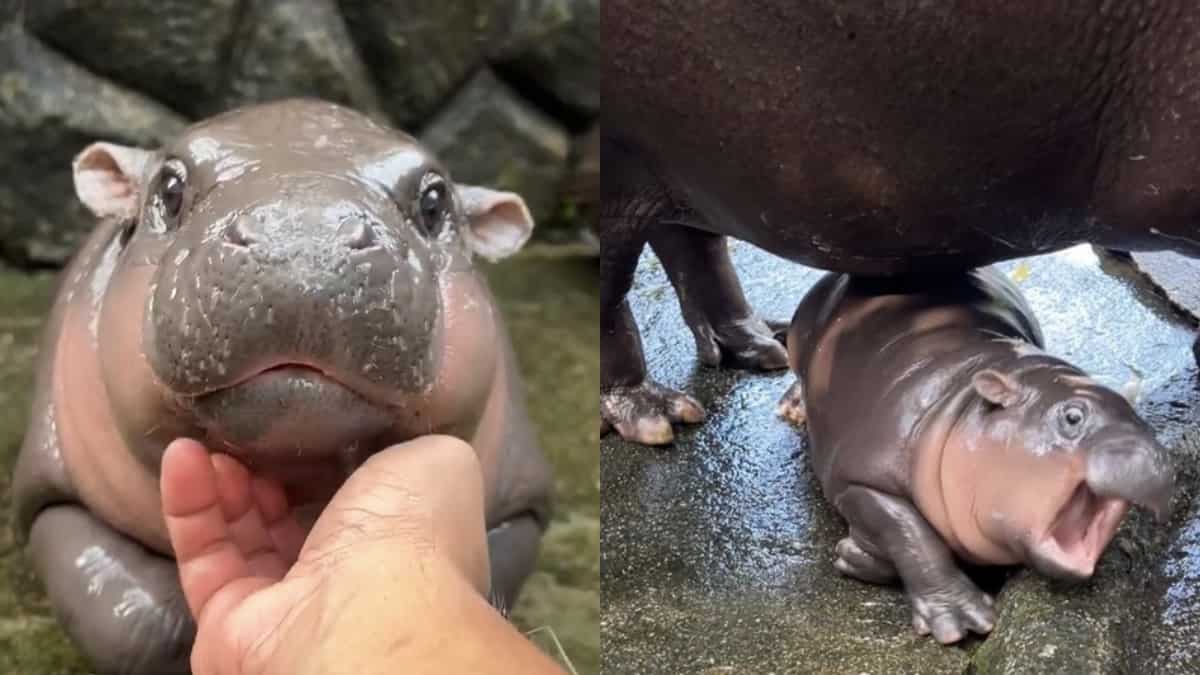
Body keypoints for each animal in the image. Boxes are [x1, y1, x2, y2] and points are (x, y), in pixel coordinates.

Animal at [11, 99, 552, 674]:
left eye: (434, 202)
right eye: (169, 188)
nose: (302, 238)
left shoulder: (523, 507)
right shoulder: (50, 495)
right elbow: (137, 624)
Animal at [775, 267, 1175, 643]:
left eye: (1138, 416)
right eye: (1073, 416)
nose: (1157, 459)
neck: (963, 401)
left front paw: (855, 555)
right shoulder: (859, 479)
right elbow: (911, 533)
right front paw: (961, 620)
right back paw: (793, 409)